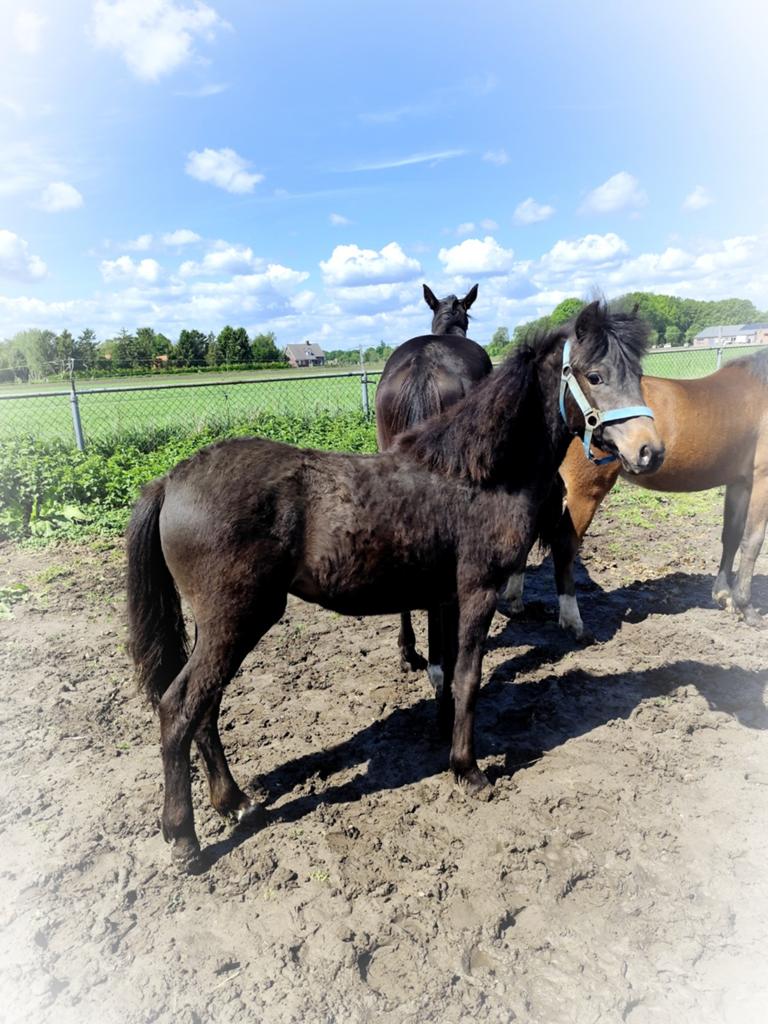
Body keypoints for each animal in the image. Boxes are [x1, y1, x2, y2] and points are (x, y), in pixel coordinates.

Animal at [512, 349, 768, 638]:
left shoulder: (739, 482)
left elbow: (731, 536)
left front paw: (724, 595)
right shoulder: (762, 479)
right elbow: (753, 541)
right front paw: (747, 608)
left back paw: (516, 601)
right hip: (586, 491)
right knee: (564, 543)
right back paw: (572, 619)